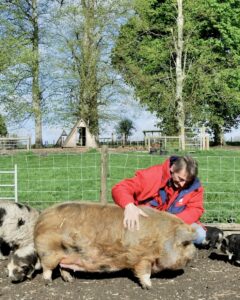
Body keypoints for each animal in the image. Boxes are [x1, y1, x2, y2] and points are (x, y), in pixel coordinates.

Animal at [33, 202, 197, 288]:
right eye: (186, 243)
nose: (194, 255)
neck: (162, 241)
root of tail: (42, 218)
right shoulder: (142, 257)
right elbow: (144, 273)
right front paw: (149, 287)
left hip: (68, 254)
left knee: (63, 267)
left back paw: (71, 280)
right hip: (49, 252)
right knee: (48, 268)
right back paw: (48, 283)